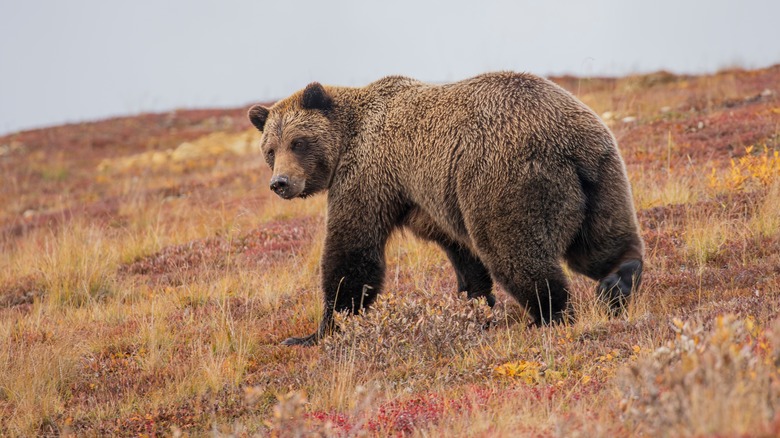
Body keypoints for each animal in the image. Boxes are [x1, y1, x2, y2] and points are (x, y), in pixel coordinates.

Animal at [247, 72, 644, 346]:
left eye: (298, 142)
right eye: (270, 149)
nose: (280, 182)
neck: (349, 136)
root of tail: (569, 141)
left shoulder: (368, 175)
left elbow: (352, 252)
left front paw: (318, 331)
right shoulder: (430, 199)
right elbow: (462, 253)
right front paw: (476, 306)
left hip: (503, 179)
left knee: (515, 251)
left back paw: (549, 315)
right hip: (602, 176)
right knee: (601, 242)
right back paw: (619, 280)